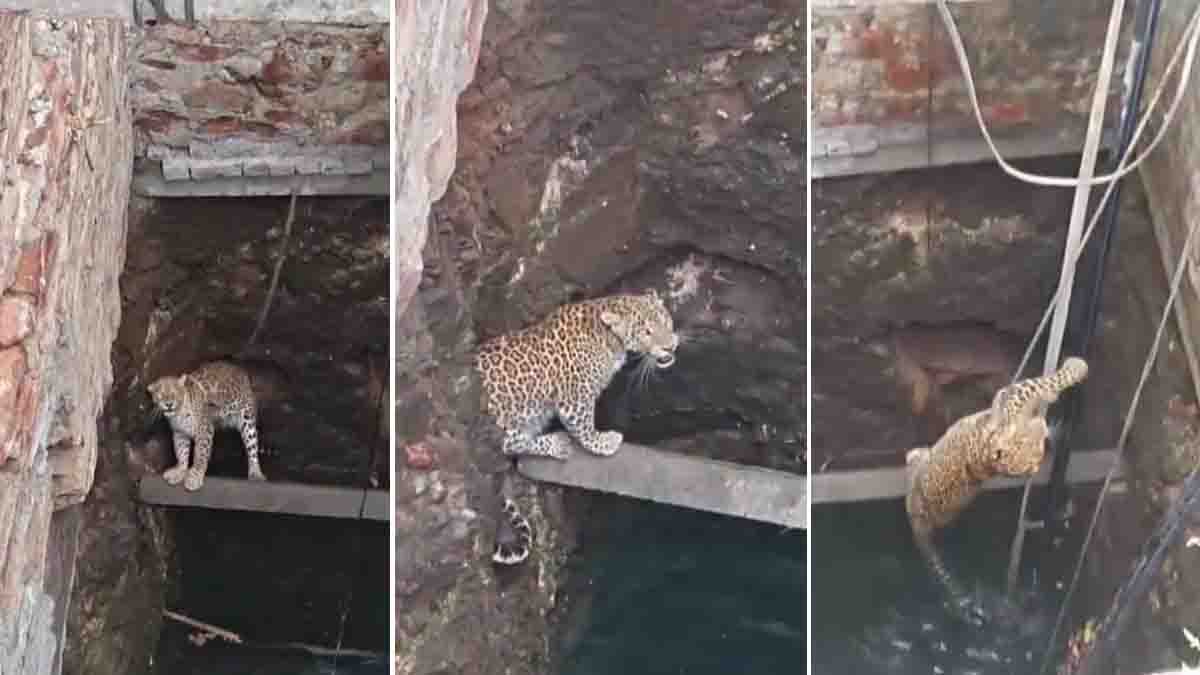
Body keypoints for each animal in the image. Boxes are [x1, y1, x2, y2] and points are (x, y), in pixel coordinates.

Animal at [147, 360, 269, 492]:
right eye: (161, 394)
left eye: (175, 392)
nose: (169, 404)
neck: (178, 414)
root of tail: (239, 369)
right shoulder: (180, 433)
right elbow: (181, 452)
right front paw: (180, 471)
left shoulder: (204, 429)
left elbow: (200, 454)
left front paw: (195, 477)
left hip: (247, 419)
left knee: (252, 448)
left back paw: (256, 473)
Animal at [476, 289, 680, 565]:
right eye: (646, 331)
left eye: (664, 319)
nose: (670, 345)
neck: (610, 338)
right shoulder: (575, 398)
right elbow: (584, 427)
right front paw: (604, 442)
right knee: (510, 443)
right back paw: (556, 442)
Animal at [905, 356, 1088, 621]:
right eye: (1031, 456)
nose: (1034, 468)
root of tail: (917, 521)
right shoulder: (1016, 395)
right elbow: (1049, 381)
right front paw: (1076, 366)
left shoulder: (1015, 399)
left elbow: (1047, 387)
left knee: (915, 456)